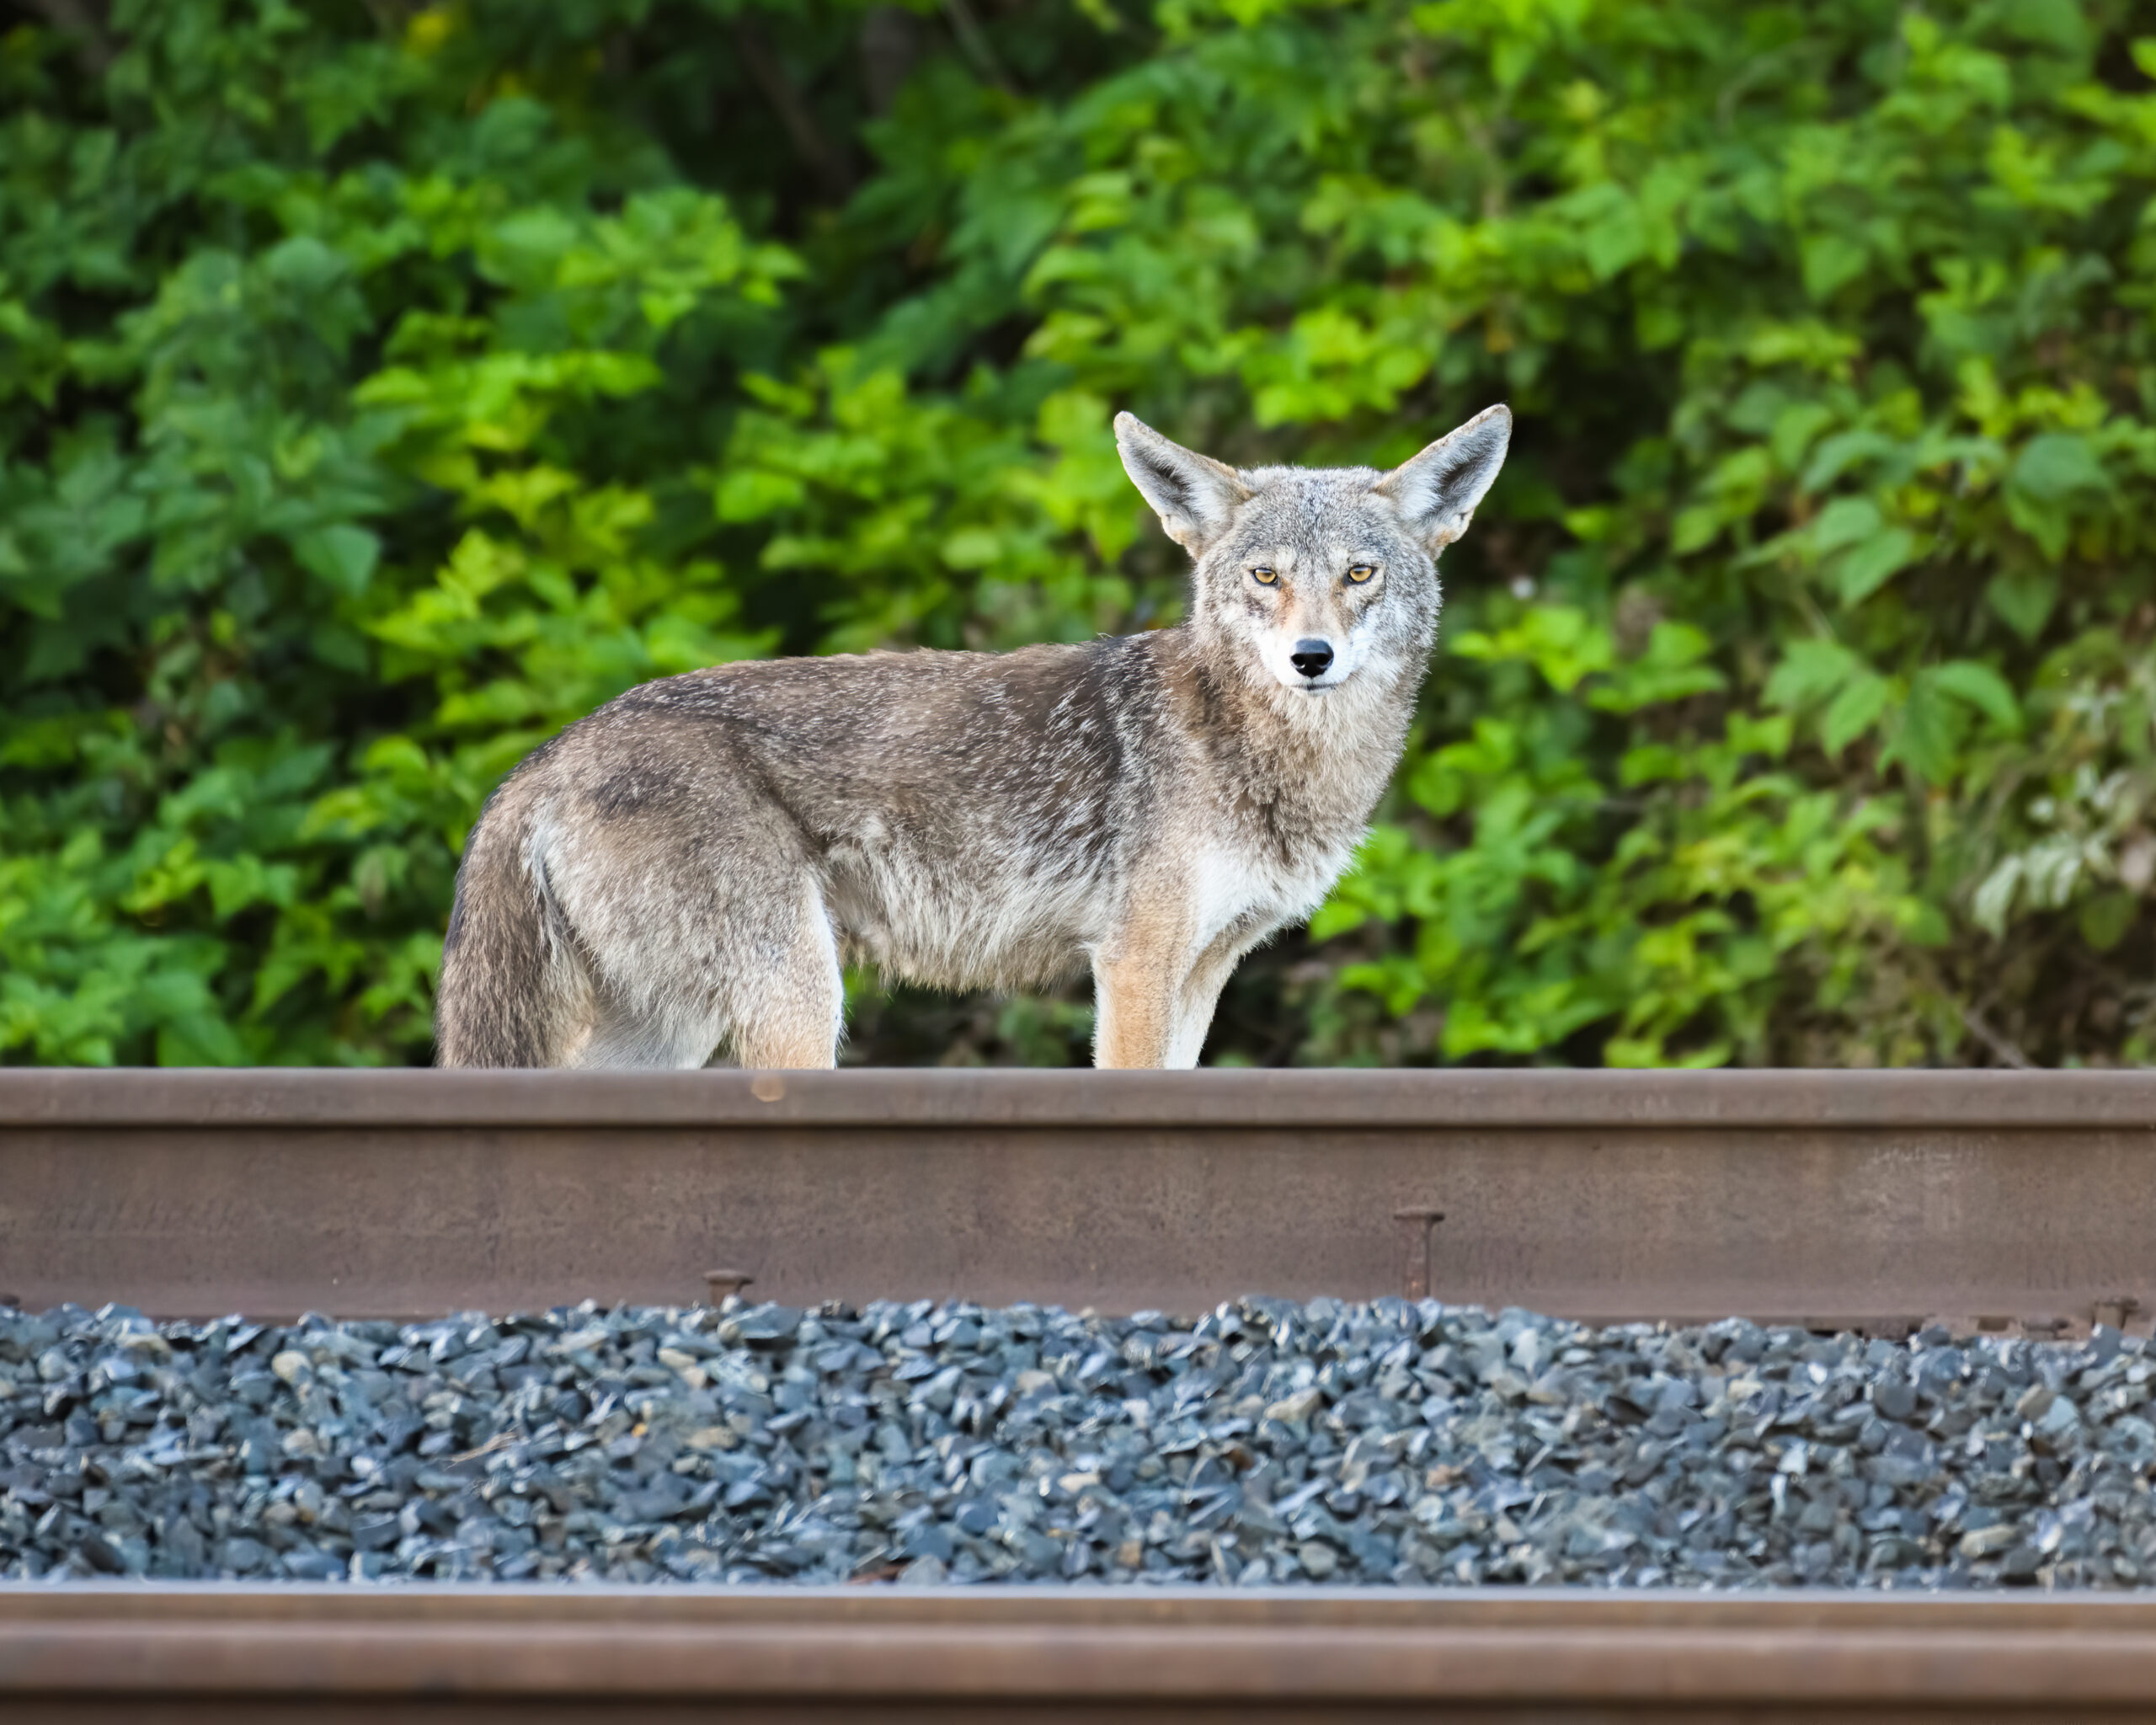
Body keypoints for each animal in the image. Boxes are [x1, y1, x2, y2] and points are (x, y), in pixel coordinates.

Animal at [434, 404, 1512, 1069]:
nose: (1310, 657)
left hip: (682, 1021)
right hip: (796, 999)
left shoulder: (1204, 968)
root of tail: (548, 754)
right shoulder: (1133, 961)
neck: (1259, 753)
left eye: (1359, 573)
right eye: (1266, 577)